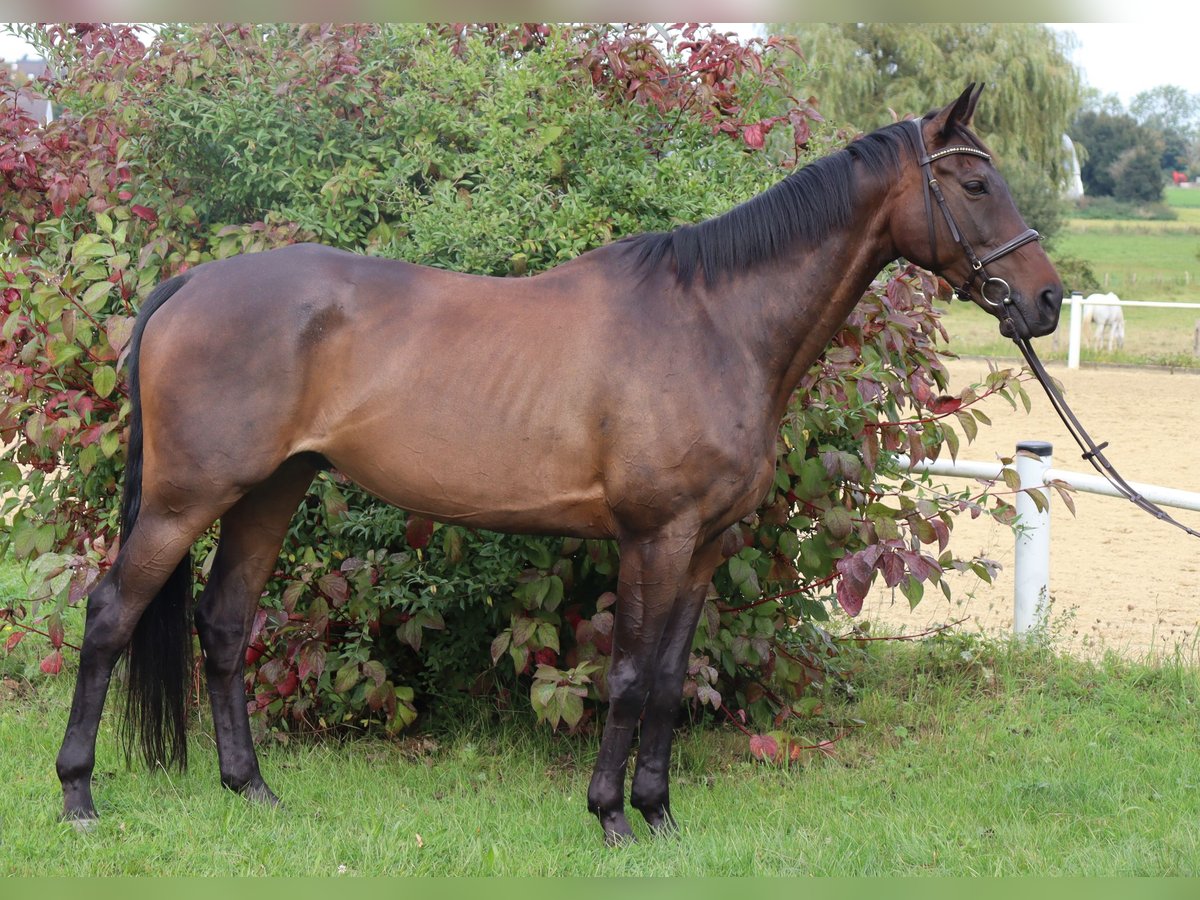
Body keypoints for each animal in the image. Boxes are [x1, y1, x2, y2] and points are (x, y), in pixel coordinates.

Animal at [56, 86, 1060, 844]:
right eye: (976, 182)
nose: (1046, 301)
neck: (714, 324)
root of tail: (191, 283)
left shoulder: (702, 545)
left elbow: (669, 681)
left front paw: (659, 817)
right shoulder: (654, 538)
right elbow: (629, 676)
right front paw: (611, 817)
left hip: (270, 489)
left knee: (225, 624)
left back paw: (252, 790)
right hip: (185, 498)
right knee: (109, 617)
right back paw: (79, 795)